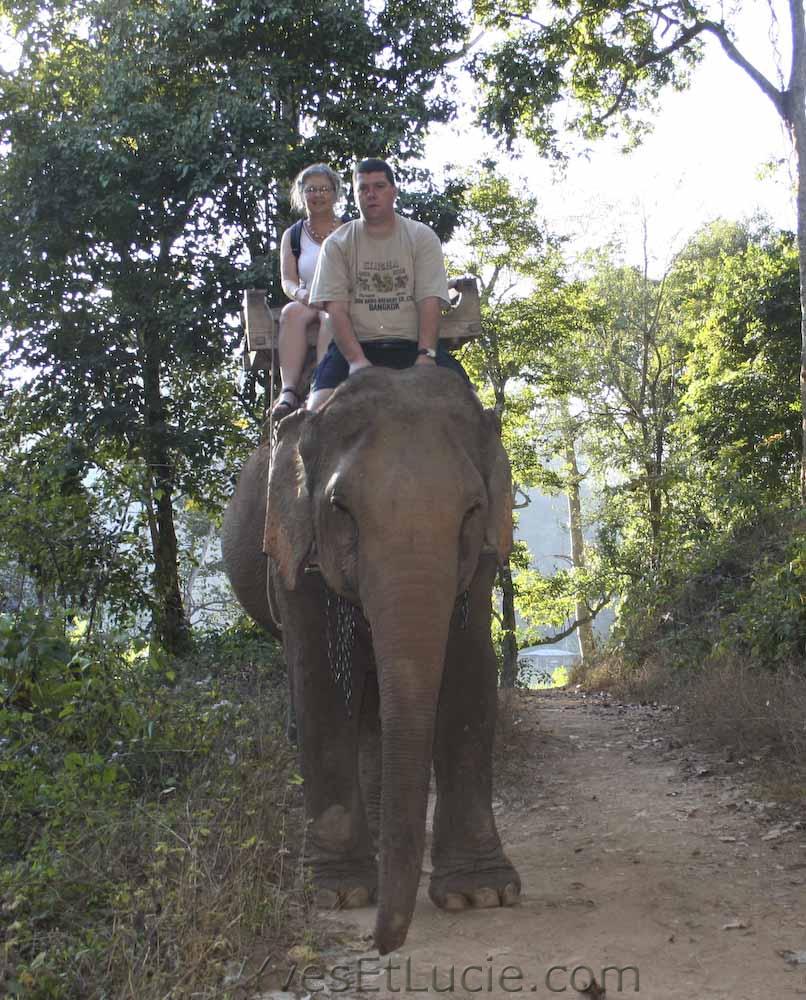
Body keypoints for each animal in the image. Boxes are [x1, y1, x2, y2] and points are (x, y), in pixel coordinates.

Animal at [223, 366, 524, 952]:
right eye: (340, 507)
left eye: (473, 508)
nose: (384, 945)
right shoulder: (294, 558)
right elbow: (319, 689)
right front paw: (337, 892)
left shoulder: (478, 564)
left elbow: (469, 678)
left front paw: (480, 894)